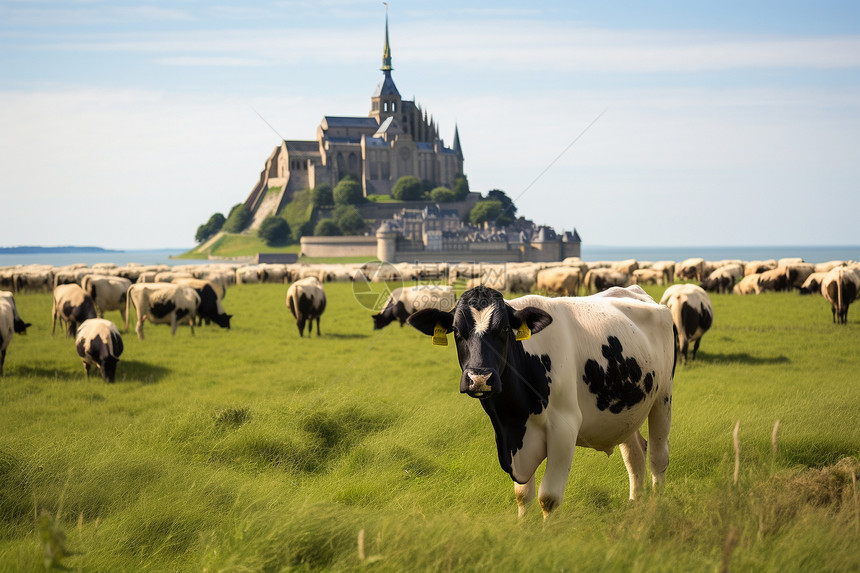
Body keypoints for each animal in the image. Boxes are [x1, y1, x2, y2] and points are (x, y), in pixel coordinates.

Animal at [406, 284, 676, 520]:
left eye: (505, 329)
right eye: (456, 330)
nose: (479, 378)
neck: (513, 418)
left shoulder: (565, 427)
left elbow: (549, 497)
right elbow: (522, 494)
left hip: (663, 397)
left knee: (658, 458)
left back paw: (656, 508)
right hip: (625, 410)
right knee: (635, 455)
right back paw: (634, 505)